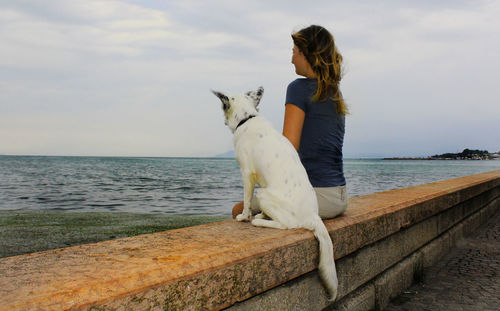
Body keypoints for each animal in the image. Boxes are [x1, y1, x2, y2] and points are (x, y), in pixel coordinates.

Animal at [213, 86, 338, 302]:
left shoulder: (247, 174)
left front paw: (244, 217)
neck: (248, 118)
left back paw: (259, 221)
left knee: (285, 226)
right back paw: (262, 216)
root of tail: (313, 215)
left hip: (263, 193)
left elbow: (246, 200)